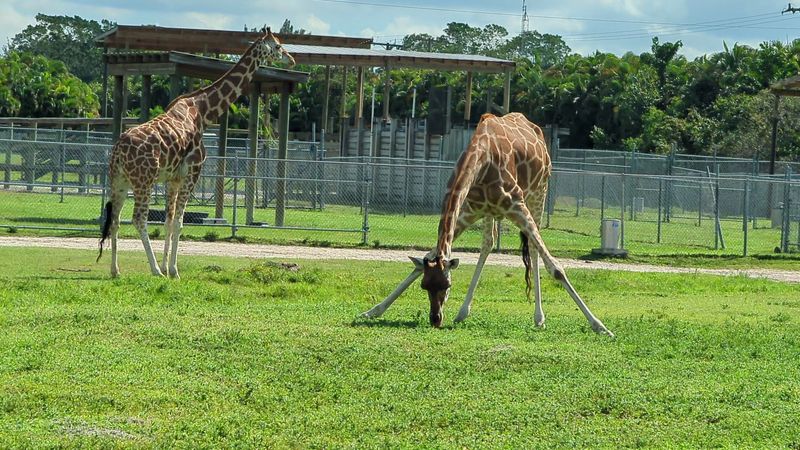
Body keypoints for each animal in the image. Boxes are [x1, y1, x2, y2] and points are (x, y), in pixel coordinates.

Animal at [97, 27, 295, 278]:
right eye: (278, 46)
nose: (291, 60)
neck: (202, 112)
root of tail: (118, 151)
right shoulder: (193, 171)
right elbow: (179, 222)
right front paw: (173, 270)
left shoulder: (173, 177)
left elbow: (169, 222)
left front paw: (167, 266)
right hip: (144, 181)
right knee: (138, 219)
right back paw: (154, 270)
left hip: (119, 181)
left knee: (114, 220)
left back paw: (116, 270)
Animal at [362, 112, 613, 336]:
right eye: (425, 286)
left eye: (447, 286)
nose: (435, 319)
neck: (482, 160)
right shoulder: (469, 211)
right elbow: (424, 259)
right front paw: (373, 311)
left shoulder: (516, 205)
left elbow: (557, 269)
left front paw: (600, 326)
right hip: (491, 212)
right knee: (489, 243)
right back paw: (463, 312)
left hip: (538, 193)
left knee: (533, 248)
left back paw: (539, 318)